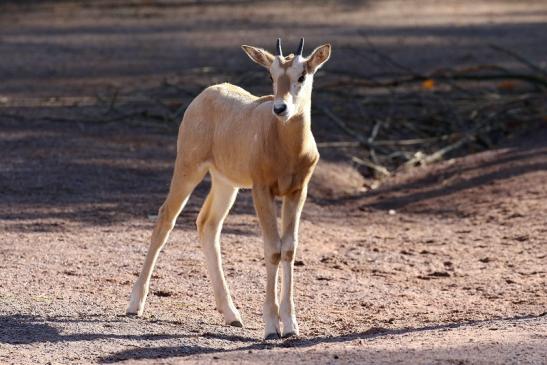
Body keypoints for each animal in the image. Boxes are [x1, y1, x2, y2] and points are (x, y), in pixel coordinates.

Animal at [128, 37, 332, 338]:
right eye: (272, 75)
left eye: (302, 76)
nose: (280, 109)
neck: (286, 146)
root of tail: (207, 93)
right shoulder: (262, 190)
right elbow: (272, 249)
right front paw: (271, 327)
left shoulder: (297, 192)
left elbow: (289, 249)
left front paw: (291, 325)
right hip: (189, 168)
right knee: (166, 217)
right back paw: (135, 305)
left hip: (226, 183)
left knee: (208, 224)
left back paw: (232, 314)